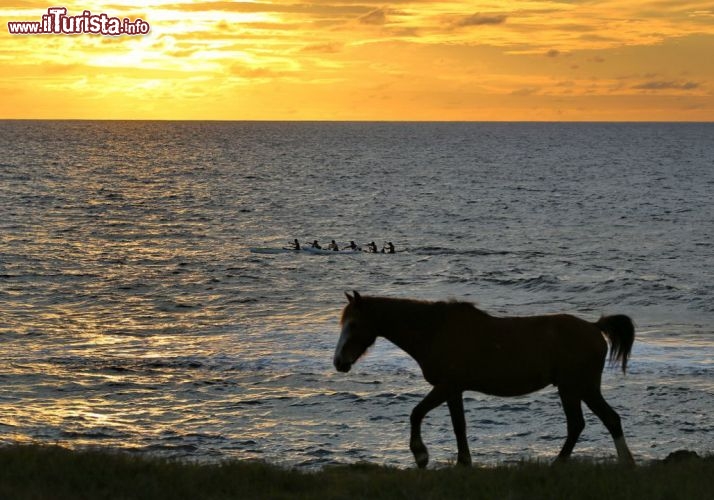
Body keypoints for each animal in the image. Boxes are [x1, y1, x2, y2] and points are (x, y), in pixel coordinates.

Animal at [330, 292, 636, 466]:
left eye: (353, 325)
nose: (339, 362)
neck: (434, 330)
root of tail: (595, 327)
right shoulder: (453, 390)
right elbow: (459, 427)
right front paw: (463, 463)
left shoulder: (446, 386)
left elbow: (416, 413)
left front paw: (421, 455)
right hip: (578, 388)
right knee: (600, 421)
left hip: (576, 387)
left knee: (584, 423)